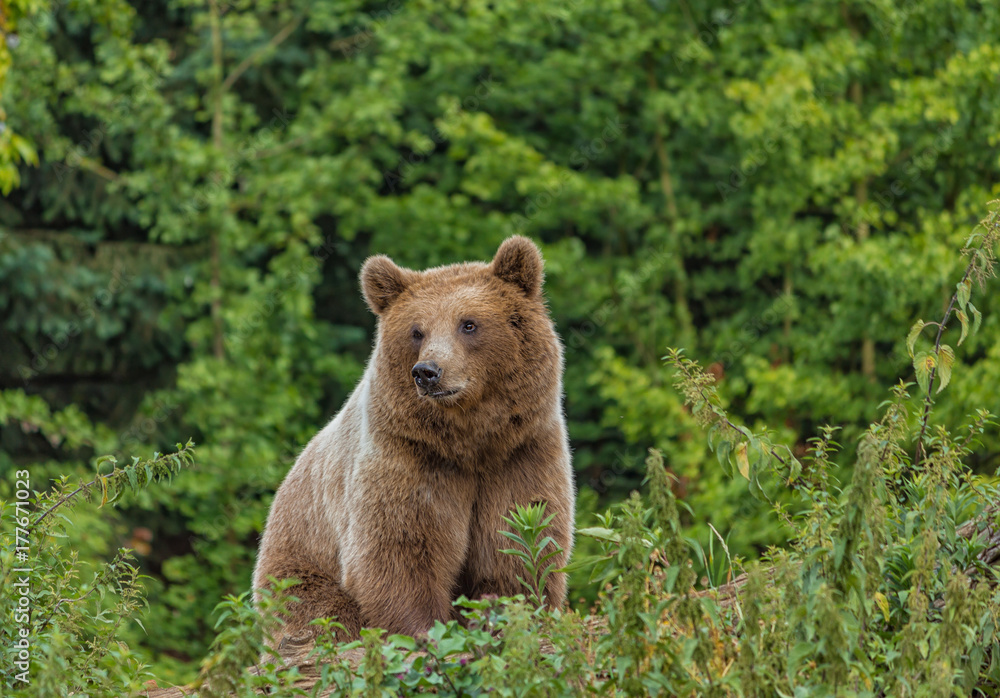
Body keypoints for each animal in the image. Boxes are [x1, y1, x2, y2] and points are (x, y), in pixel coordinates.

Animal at [252, 237, 580, 644]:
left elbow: (517, 544)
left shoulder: (521, 454)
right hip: (299, 567)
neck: (470, 441)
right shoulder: (407, 455)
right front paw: (426, 632)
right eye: (416, 331)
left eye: (468, 324)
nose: (427, 372)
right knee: (321, 619)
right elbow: (399, 552)